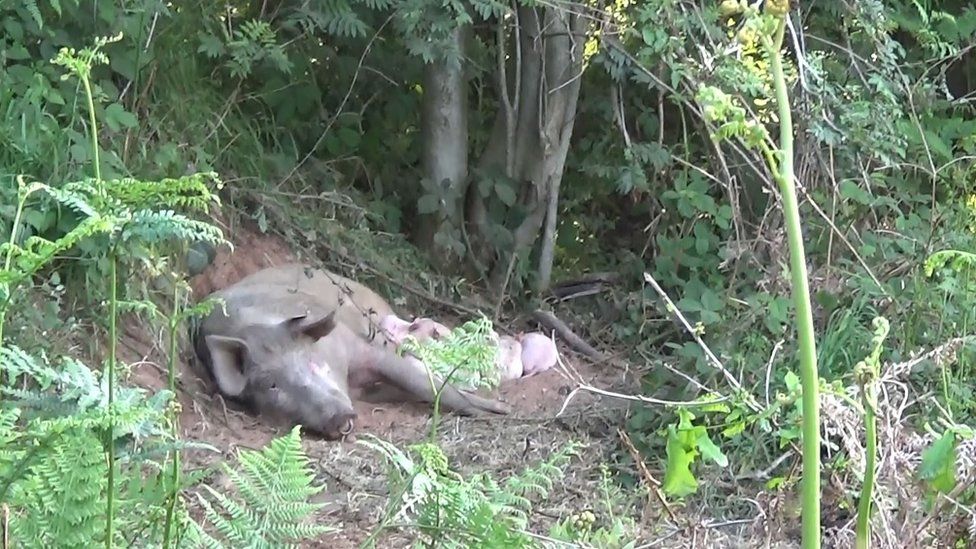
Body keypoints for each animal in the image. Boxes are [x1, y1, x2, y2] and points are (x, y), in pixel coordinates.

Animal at [192, 264, 510, 438]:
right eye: (271, 385)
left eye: (310, 359)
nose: (337, 416)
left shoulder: (359, 346)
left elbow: (422, 382)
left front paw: (499, 411)